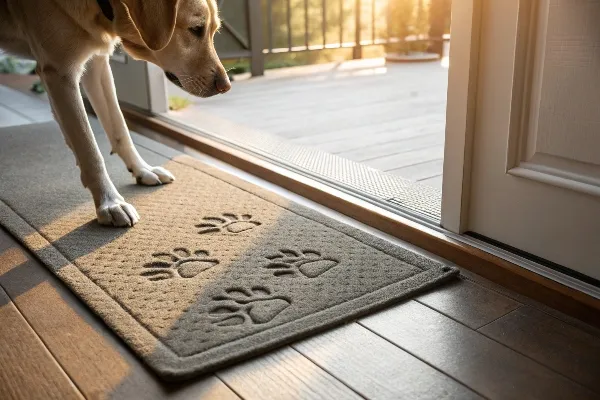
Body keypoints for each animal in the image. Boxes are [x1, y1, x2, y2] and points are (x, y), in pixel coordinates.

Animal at [0, 0, 231, 225]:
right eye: (196, 29)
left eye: (213, 31)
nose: (226, 86)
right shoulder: (60, 74)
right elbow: (90, 151)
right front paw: (109, 202)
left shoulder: (97, 64)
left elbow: (120, 128)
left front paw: (142, 169)